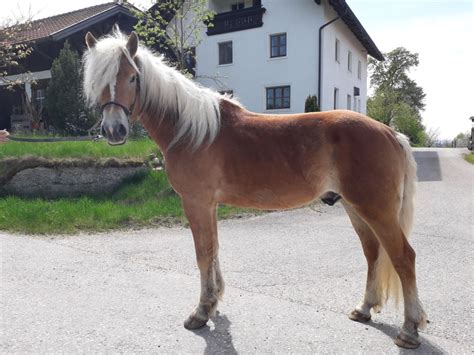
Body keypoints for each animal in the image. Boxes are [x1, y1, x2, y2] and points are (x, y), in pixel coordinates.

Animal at [83, 30, 428, 350]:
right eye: (97, 79)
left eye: (132, 77)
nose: (114, 131)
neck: (191, 129)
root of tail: (390, 133)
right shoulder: (209, 205)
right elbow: (214, 250)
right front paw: (214, 302)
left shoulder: (196, 202)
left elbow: (203, 254)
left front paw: (201, 312)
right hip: (355, 208)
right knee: (373, 253)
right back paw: (364, 308)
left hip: (376, 209)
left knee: (403, 257)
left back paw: (409, 329)